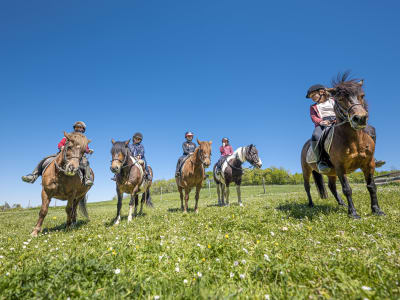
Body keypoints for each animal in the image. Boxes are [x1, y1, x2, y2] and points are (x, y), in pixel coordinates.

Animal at [302, 72, 382, 218]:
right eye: (339, 99)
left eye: (362, 95)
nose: (360, 118)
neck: (355, 140)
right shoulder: (340, 166)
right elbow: (347, 189)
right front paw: (353, 214)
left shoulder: (369, 164)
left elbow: (372, 186)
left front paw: (377, 210)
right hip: (307, 170)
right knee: (307, 187)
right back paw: (311, 204)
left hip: (331, 172)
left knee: (331, 186)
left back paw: (342, 204)